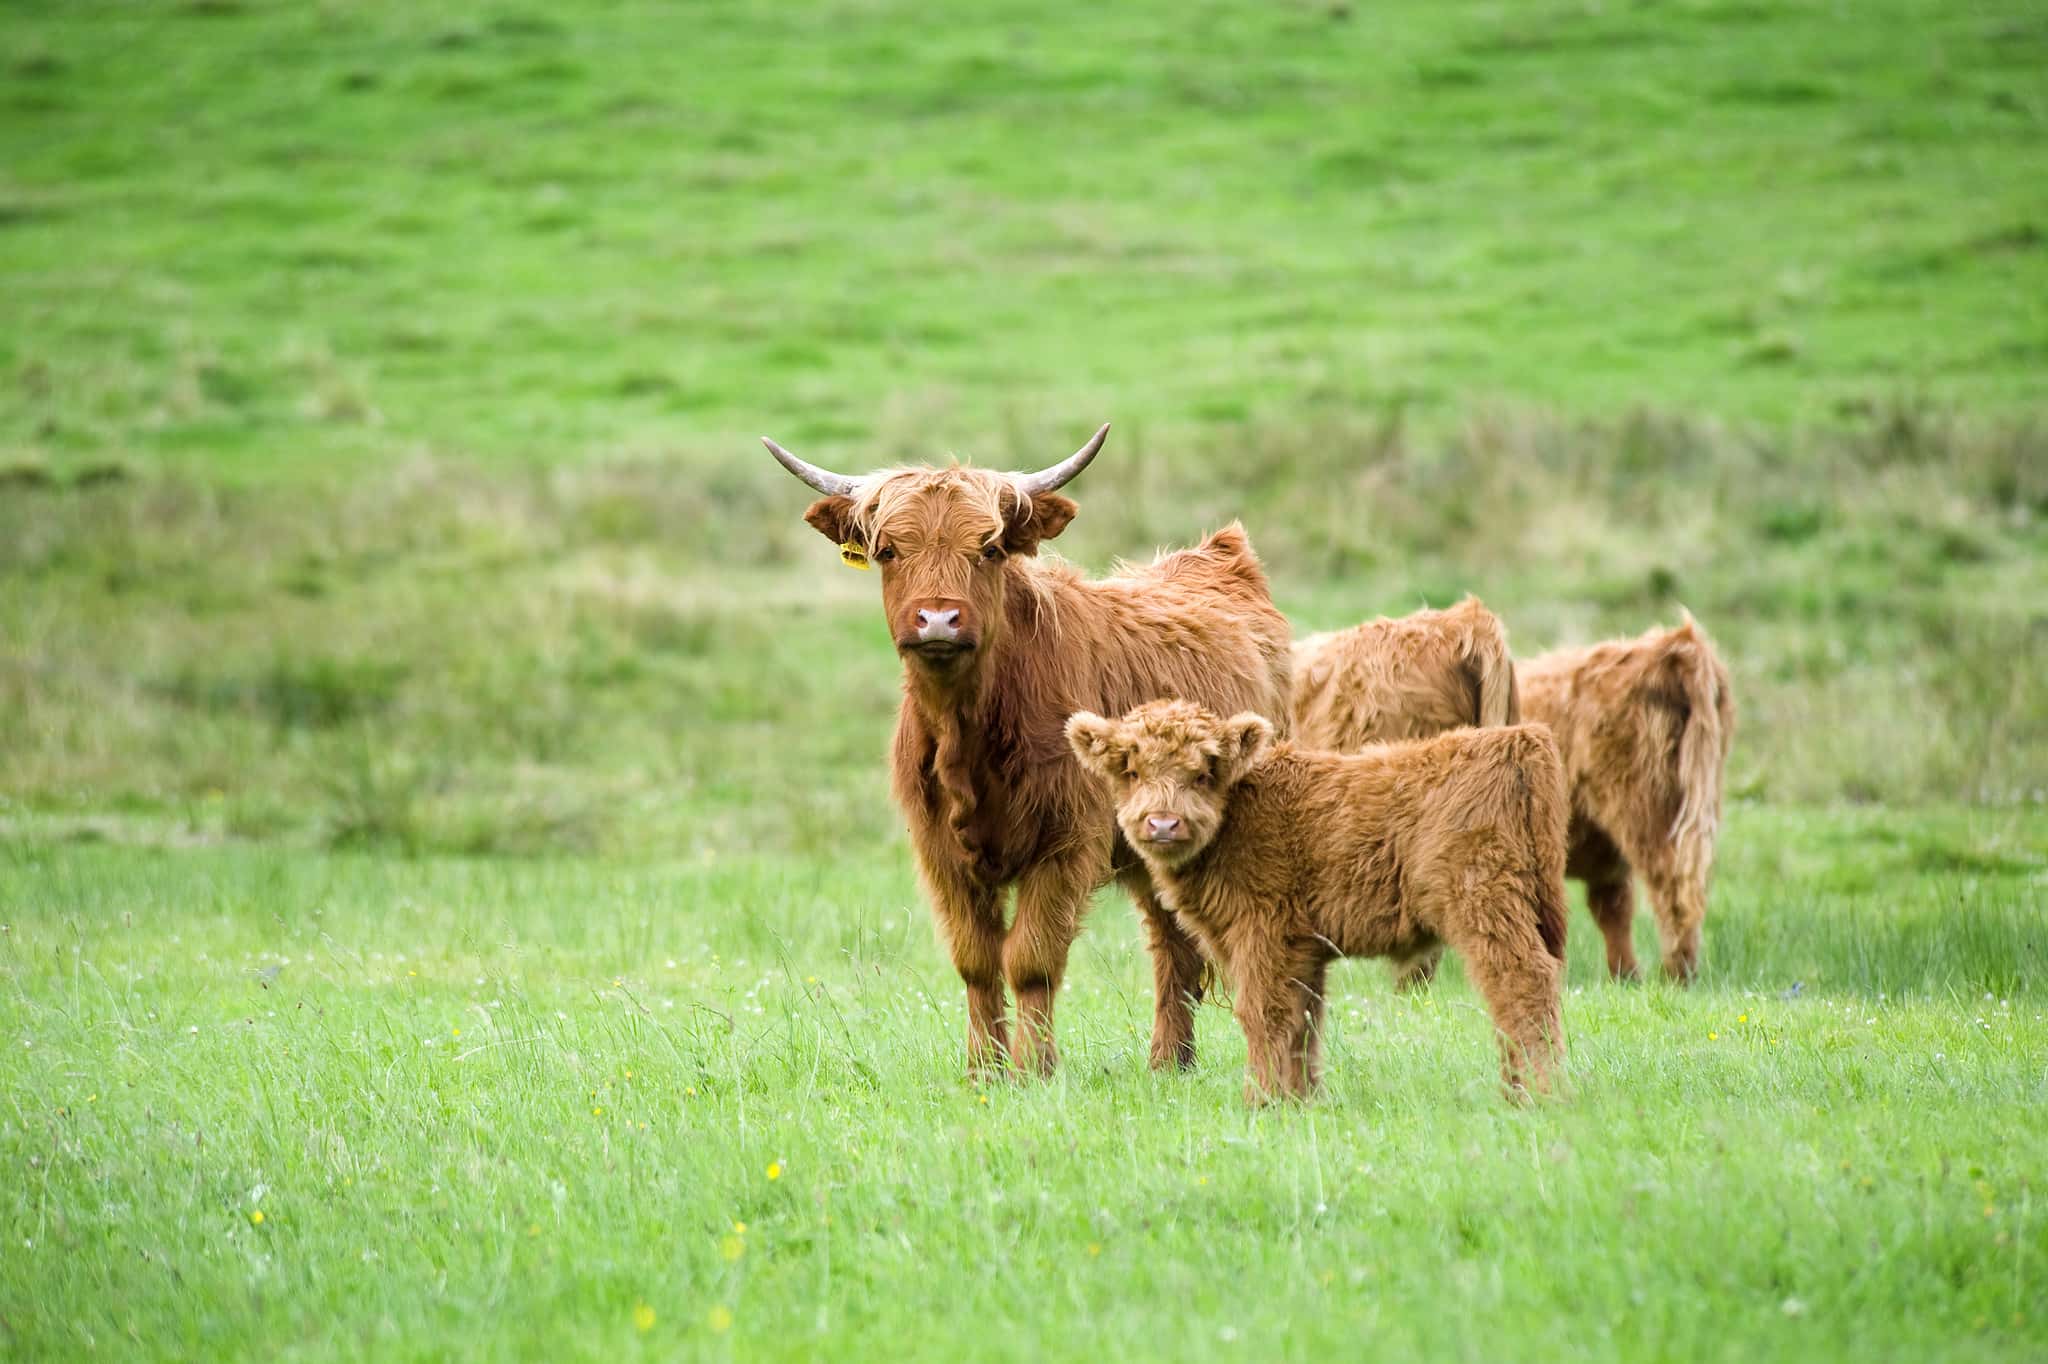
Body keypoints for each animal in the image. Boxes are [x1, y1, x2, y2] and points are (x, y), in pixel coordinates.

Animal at [760, 426, 1292, 1076]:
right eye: (888, 550)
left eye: (988, 548)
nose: (938, 619)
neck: (969, 736)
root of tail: (1216, 556)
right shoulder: (940, 852)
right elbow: (977, 961)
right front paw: (983, 1071)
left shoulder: (1065, 841)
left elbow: (1031, 959)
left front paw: (1035, 1069)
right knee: (1174, 945)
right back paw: (1172, 1064)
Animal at [1065, 701, 1568, 1101]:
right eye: (1131, 771)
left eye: (1204, 772)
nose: (1163, 823)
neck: (1239, 815)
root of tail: (1512, 739)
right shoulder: (1302, 948)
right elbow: (1303, 1021)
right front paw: (1302, 1099)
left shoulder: (1265, 933)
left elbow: (1263, 1012)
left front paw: (1262, 1100)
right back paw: (1516, 1090)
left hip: (1484, 902)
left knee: (1522, 983)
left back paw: (1540, 1094)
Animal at [1516, 615, 1735, 983]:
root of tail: (1675, 646)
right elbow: (1612, 909)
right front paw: (1624, 977)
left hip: (1647, 811)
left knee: (1673, 887)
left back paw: (1675, 974)